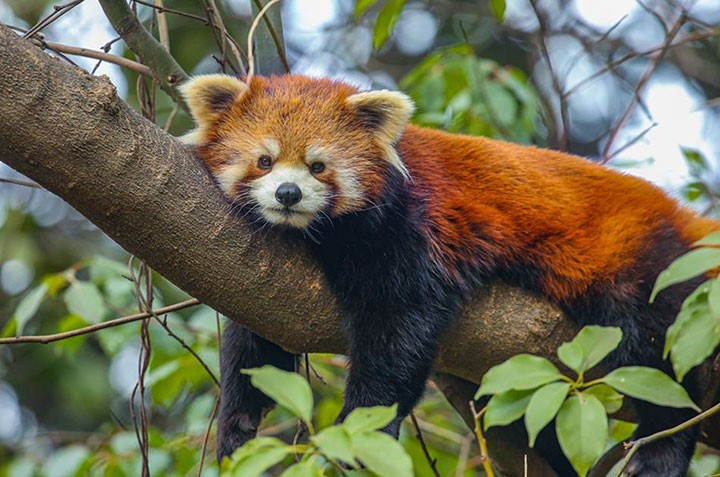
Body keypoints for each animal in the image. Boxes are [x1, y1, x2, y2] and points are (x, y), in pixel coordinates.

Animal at [181, 72, 720, 474]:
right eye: (264, 161)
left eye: (318, 166)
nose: (287, 194)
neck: (316, 236)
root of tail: (684, 221)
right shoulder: (261, 280)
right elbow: (254, 345)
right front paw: (238, 425)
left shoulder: (411, 233)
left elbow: (398, 330)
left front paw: (363, 426)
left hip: (644, 268)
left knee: (656, 359)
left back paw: (662, 449)